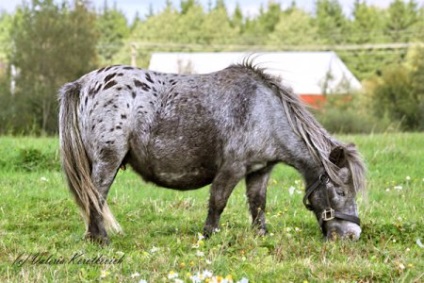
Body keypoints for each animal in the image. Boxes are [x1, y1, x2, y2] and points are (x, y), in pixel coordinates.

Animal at [58, 61, 366, 245]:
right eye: (340, 191)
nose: (352, 236)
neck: (264, 112)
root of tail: (83, 84)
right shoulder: (232, 169)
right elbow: (218, 202)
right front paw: (209, 235)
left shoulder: (260, 170)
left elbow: (258, 204)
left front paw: (261, 235)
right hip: (107, 160)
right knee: (95, 195)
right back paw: (100, 239)